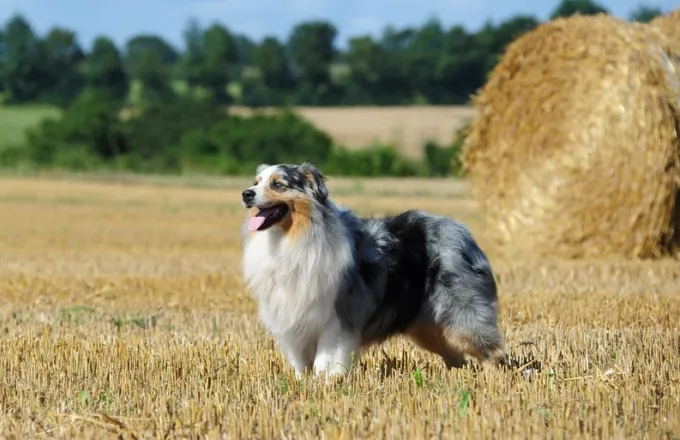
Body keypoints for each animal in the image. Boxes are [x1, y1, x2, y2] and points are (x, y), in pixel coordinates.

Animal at [242, 163, 508, 380]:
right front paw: (304, 385)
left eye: (278, 184)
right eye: (256, 182)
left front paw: (326, 384)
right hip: (427, 327)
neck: (291, 237)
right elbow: (301, 365)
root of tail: (463, 232)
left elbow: (324, 362)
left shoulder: (335, 320)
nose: (246, 194)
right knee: (457, 358)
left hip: (463, 314)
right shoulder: (294, 322)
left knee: (492, 351)